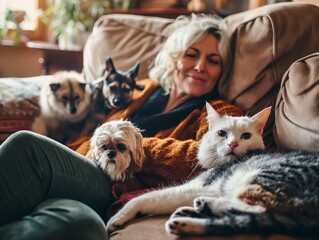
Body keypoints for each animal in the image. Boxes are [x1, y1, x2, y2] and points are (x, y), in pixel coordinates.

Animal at [107, 102, 319, 236]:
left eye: (246, 136)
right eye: (222, 133)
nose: (233, 144)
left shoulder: (200, 186)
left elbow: (143, 198)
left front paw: (117, 217)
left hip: (263, 177)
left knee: (257, 210)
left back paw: (203, 206)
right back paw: (189, 217)